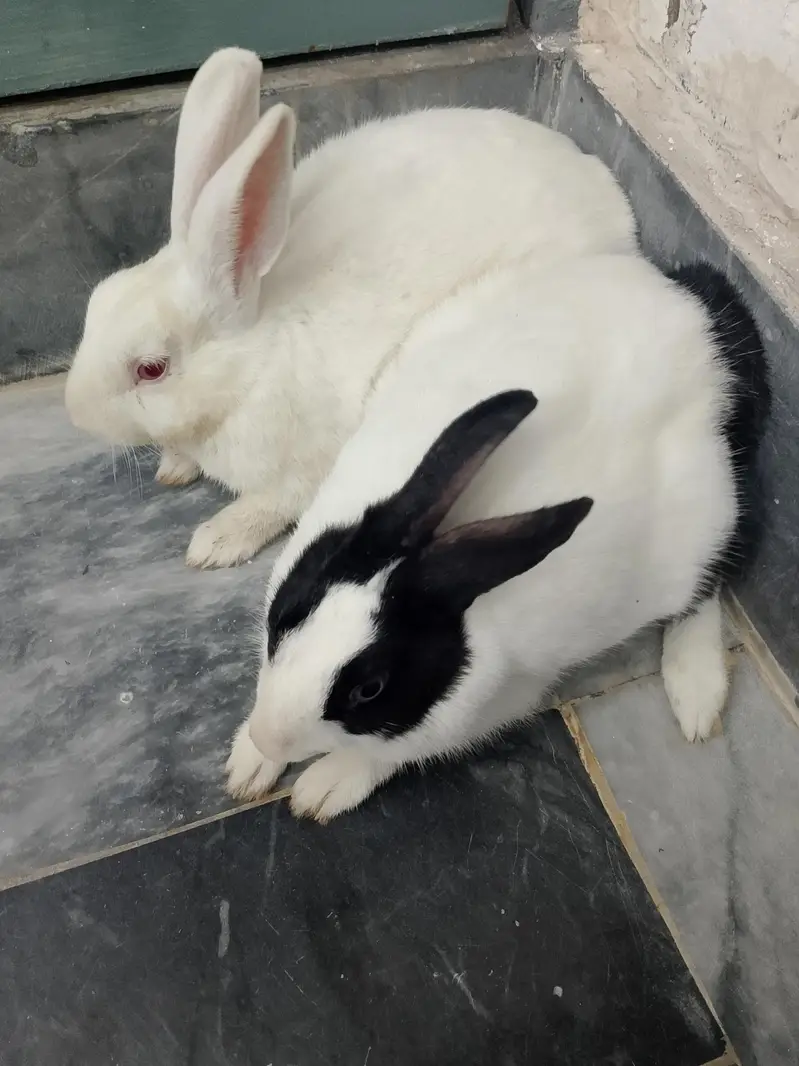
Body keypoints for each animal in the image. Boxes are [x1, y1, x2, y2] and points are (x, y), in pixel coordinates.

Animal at [63, 46, 639, 570]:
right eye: (97, 302)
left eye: (151, 369)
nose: (76, 412)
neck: (252, 366)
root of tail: (602, 184)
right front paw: (174, 468)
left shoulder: (304, 469)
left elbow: (271, 506)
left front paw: (214, 543)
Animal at [223, 253, 770, 822]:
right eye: (286, 615)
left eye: (369, 690)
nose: (268, 737)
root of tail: (699, 319)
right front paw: (249, 762)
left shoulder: (502, 699)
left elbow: (398, 751)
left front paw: (326, 786)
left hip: (708, 520)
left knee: (707, 587)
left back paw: (696, 693)